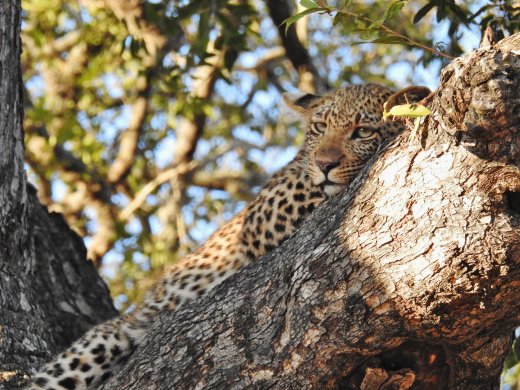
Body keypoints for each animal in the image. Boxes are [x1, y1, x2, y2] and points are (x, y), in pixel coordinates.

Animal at [28, 84, 410, 388]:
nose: (324, 163)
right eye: (319, 128)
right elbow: (311, 186)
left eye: (362, 132)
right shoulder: (265, 211)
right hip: (102, 341)